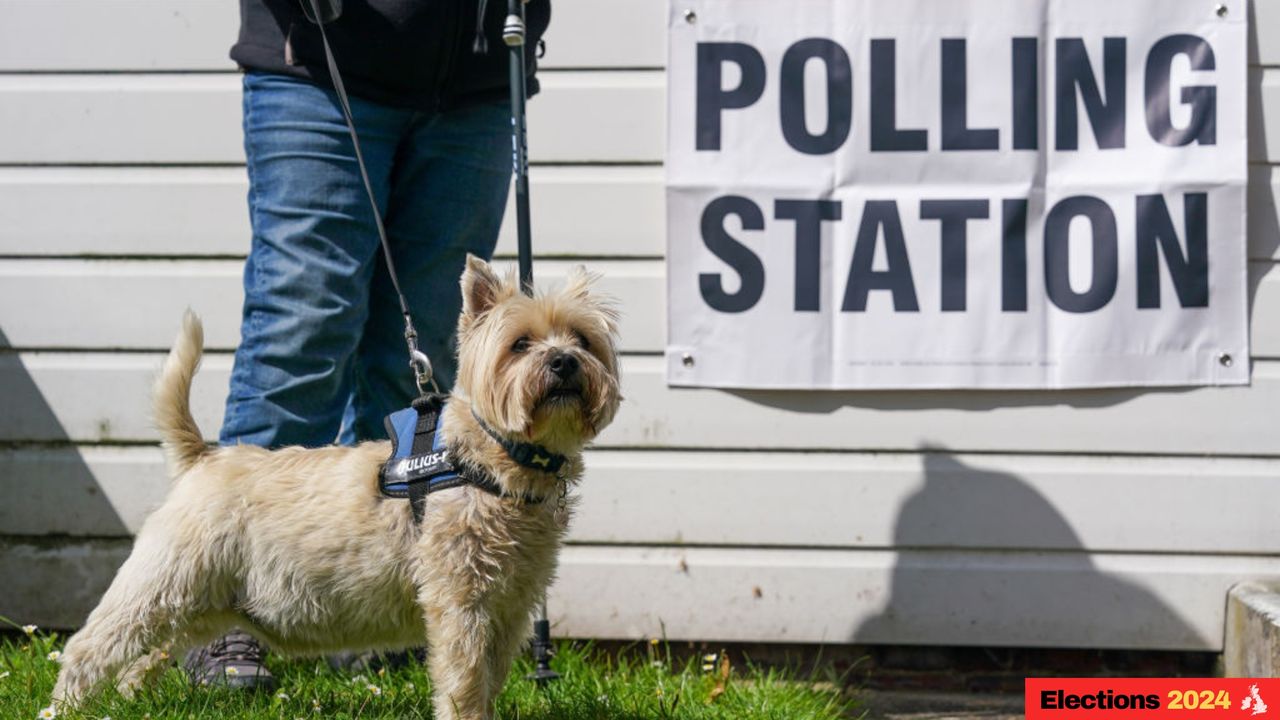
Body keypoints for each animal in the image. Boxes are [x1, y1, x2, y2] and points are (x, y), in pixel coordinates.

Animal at [52, 254, 622, 712]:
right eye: (520, 343)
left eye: (583, 340)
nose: (564, 360)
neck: (496, 458)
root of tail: (202, 458)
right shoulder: (459, 600)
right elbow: (463, 682)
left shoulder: (510, 606)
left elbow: (491, 677)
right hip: (162, 583)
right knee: (89, 648)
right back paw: (66, 707)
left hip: (205, 603)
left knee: (147, 655)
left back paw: (129, 699)